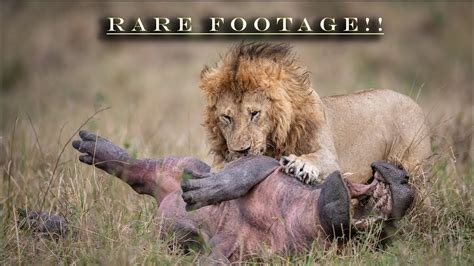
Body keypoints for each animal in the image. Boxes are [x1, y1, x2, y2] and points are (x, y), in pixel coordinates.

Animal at [198, 42, 432, 184]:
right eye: (226, 118)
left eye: (254, 113)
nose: (242, 151)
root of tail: (412, 100)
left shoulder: (331, 158)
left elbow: (315, 156)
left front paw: (300, 165)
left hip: (415, 168)